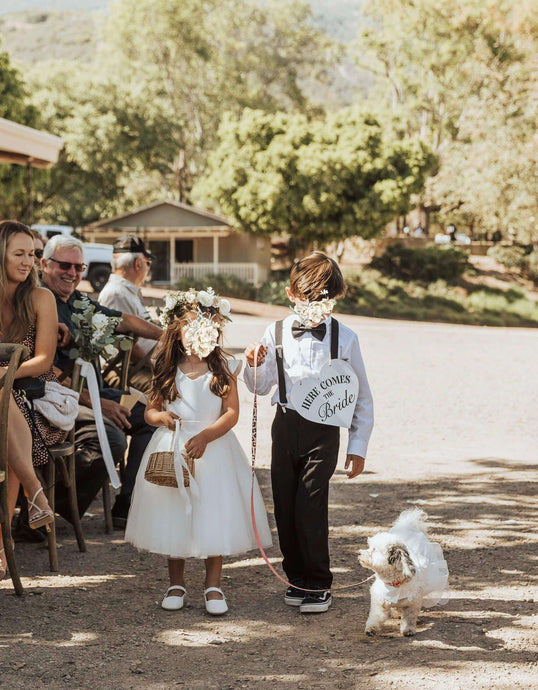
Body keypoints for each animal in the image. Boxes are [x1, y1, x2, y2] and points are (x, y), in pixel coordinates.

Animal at [356, 506, 448, 636]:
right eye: (369, 546)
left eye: (374, 549)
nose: (359, 553)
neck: (395, 584)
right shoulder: (379, 602)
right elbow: (375, 617)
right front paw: (371, 628)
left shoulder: (412, 604)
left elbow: (409, 618)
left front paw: (408, 630)